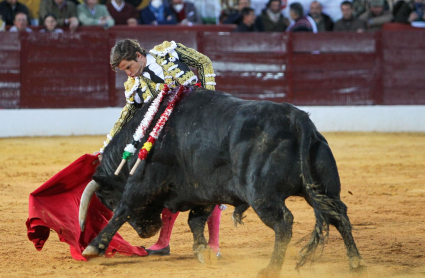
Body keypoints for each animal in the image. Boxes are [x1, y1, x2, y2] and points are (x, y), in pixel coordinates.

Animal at [79, 87, 362, 278]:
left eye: (107, 200)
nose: (146, 231)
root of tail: (297, 119)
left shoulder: (142, 183)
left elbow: (124, 209)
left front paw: (93, 247)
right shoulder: (202, 191)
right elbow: (196, 220)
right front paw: (203, 251)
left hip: (261, 196)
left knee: (284, 222)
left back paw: (270, 268)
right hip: (324, 189)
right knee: (339, 215)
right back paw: (356, 263)